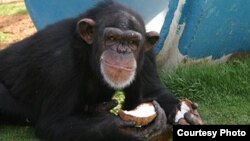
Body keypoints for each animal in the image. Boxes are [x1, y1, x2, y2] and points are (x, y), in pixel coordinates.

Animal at [0, 1, 201, 141]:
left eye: (133, 42)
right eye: (111, 38)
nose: (122, 50)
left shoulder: (148, 51)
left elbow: (152, 93)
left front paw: (186, 115)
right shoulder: (59, 61)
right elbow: (54, 122)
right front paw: (121, 129)